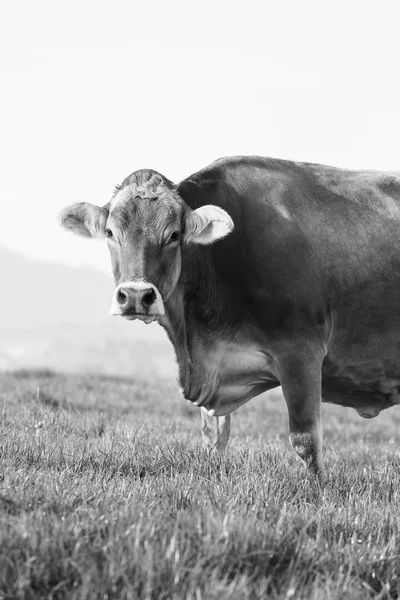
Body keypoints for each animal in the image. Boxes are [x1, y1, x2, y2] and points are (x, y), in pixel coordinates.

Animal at [59, 156, 400, 482]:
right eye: (110, 232)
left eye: (174, 235)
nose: (135, 295)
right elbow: (214, 437)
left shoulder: (301, 351)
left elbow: (305, 439)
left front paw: (318, 492)